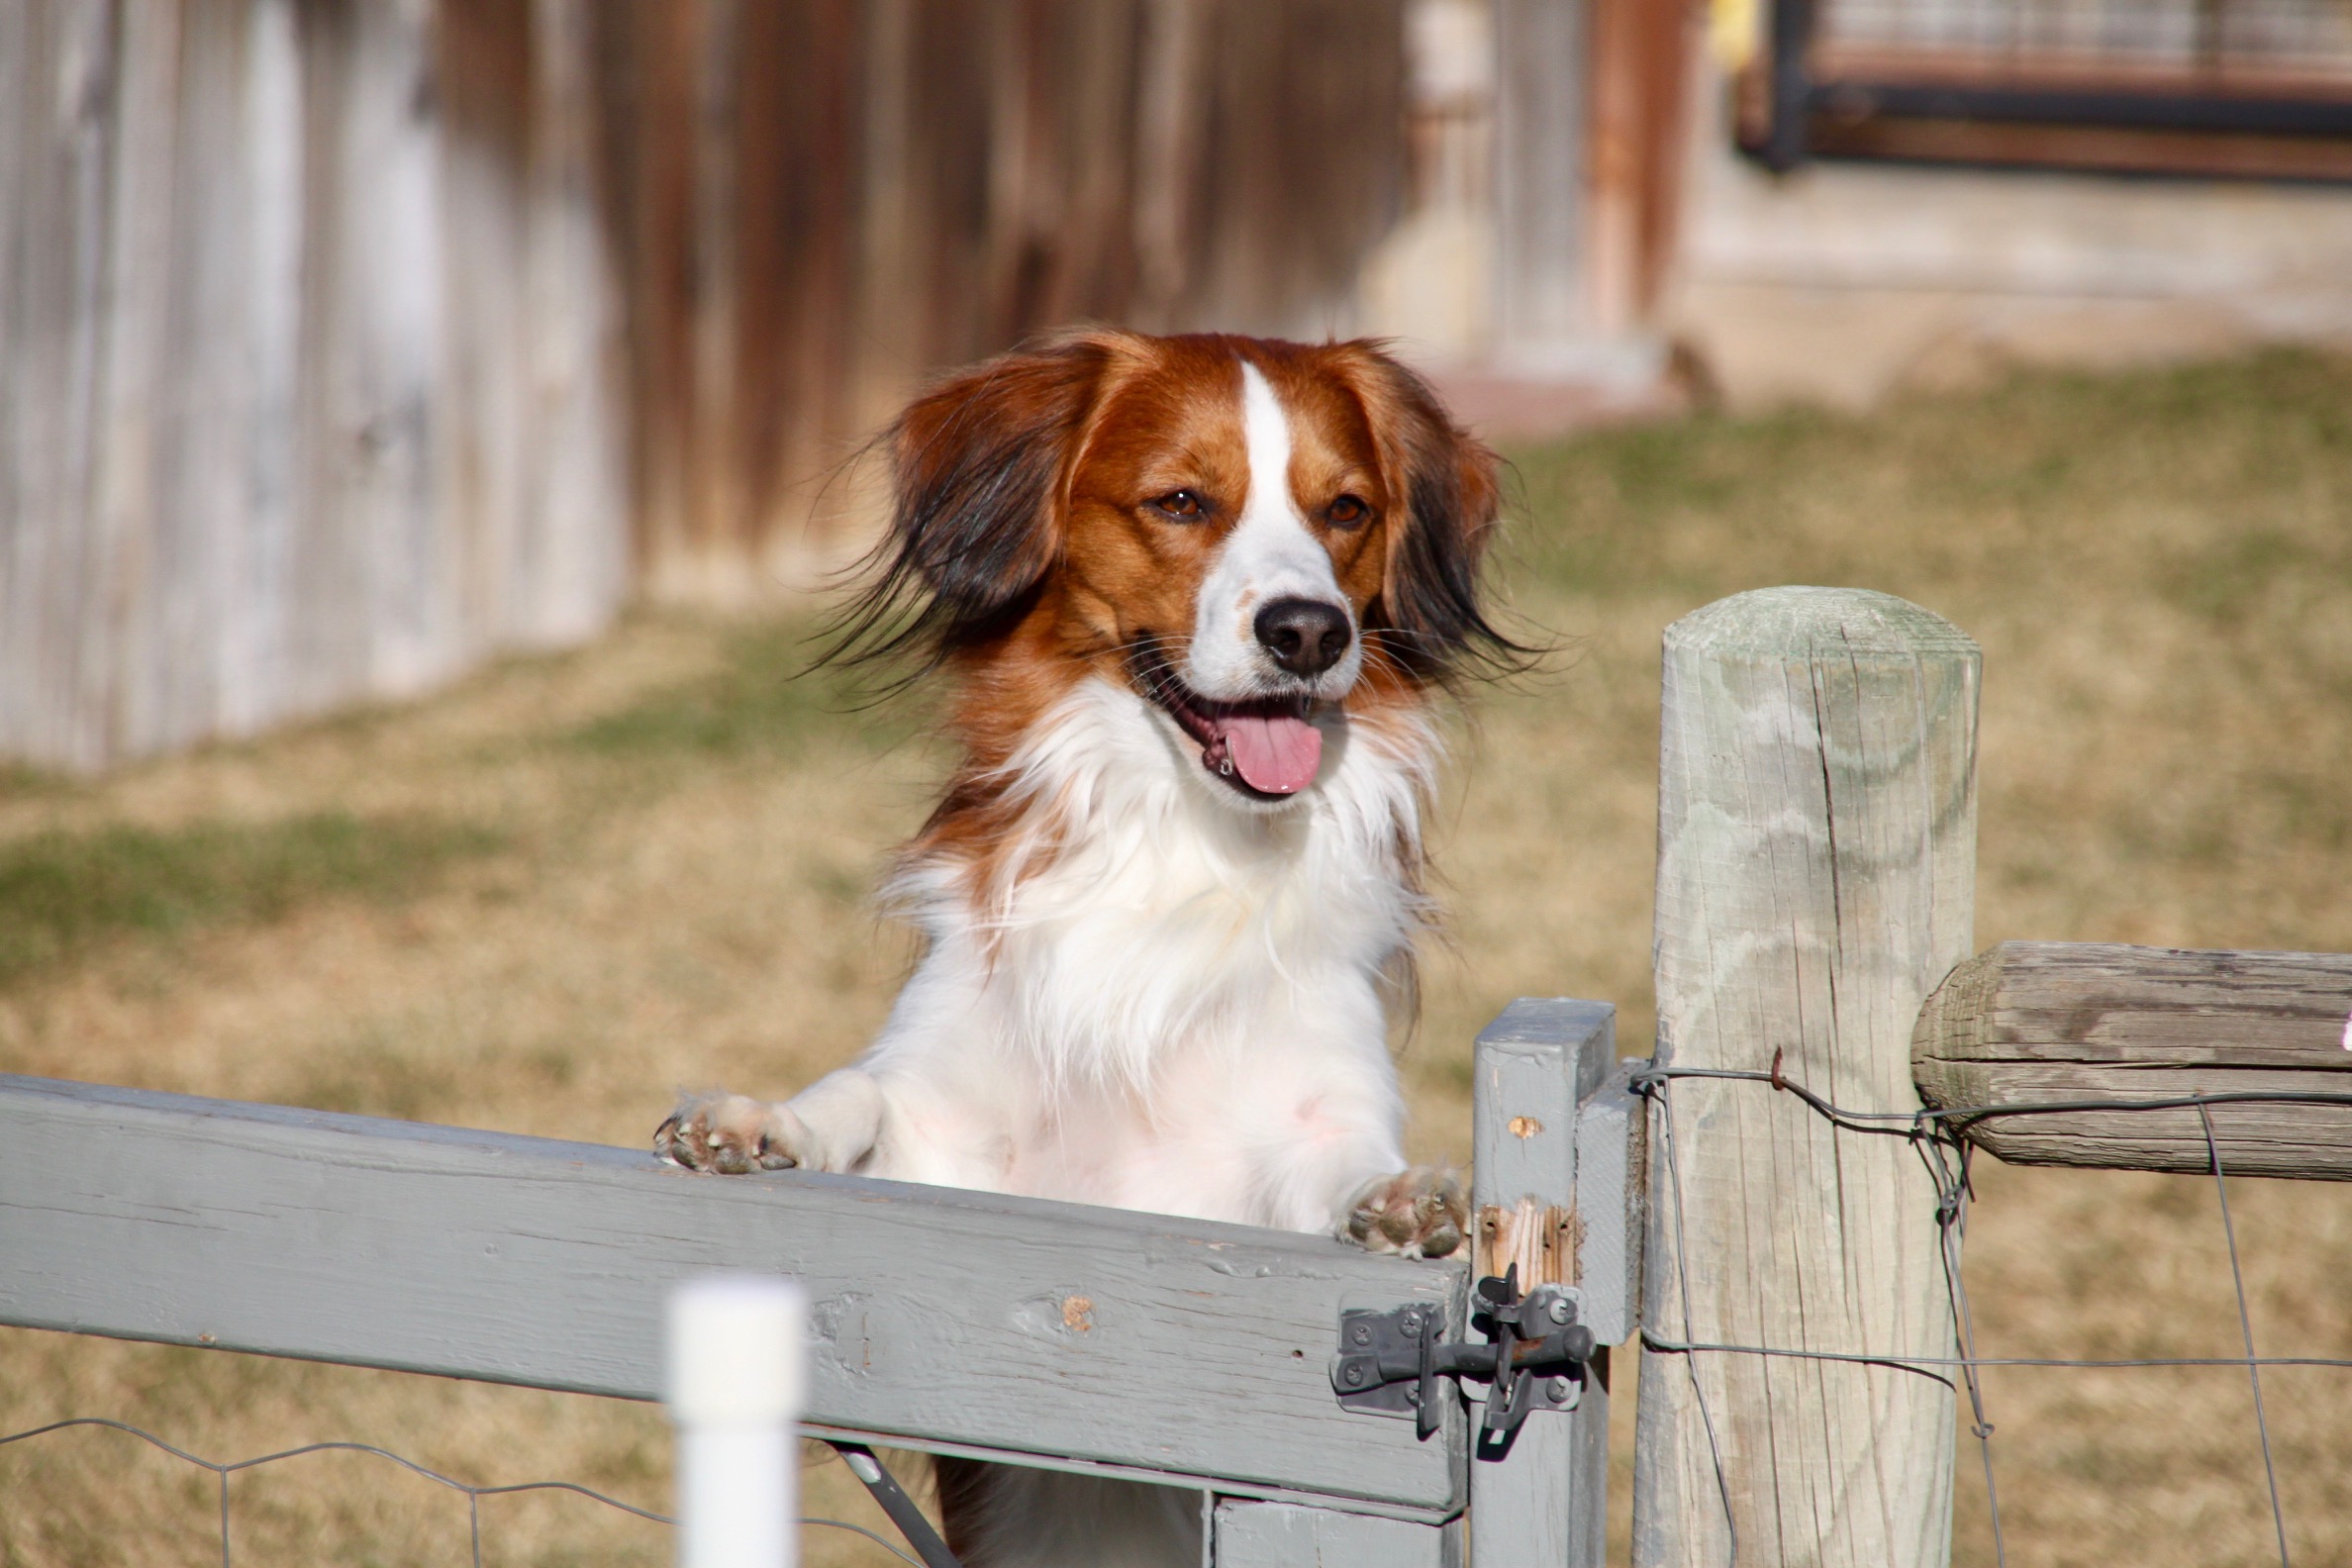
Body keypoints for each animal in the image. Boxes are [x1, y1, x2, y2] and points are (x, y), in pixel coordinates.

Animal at [653, 331, 1515, 1568]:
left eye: (1346, 510)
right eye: (1180, 501)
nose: (1311, 631)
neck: (1179, 845)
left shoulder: (1279, 1162)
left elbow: (1339, 1169)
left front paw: (1403, 1205)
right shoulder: (946, 1139)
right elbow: (858, 1097)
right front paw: (758, 1125)